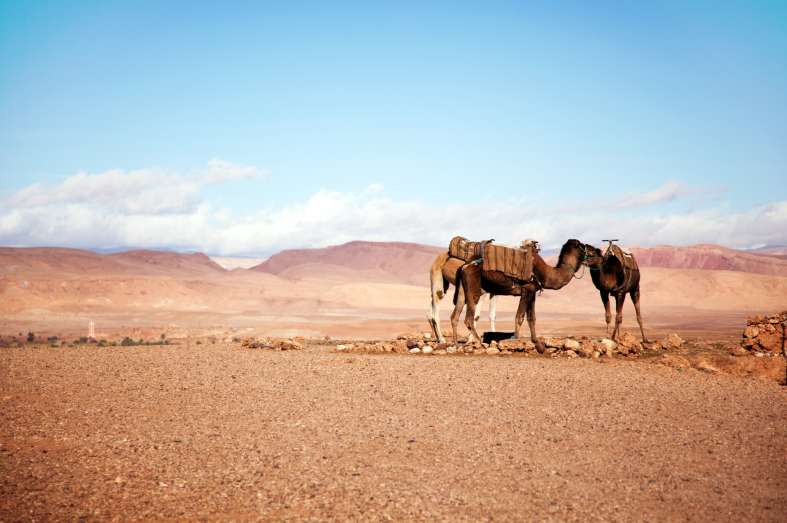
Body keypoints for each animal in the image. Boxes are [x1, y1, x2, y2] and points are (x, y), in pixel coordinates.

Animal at [453, 239, 591, 353]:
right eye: (582, 246)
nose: (593, 250)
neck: (546, 274)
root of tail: (464, 266)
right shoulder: (527, 289)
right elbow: (519, 317)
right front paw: (515, 342)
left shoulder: (532, 292)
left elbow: (532, 318)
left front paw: (538, 345)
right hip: (473, 289)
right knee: (468, 318)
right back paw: (480, 343)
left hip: (462, 291)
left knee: (455, 315)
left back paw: (456, 344)